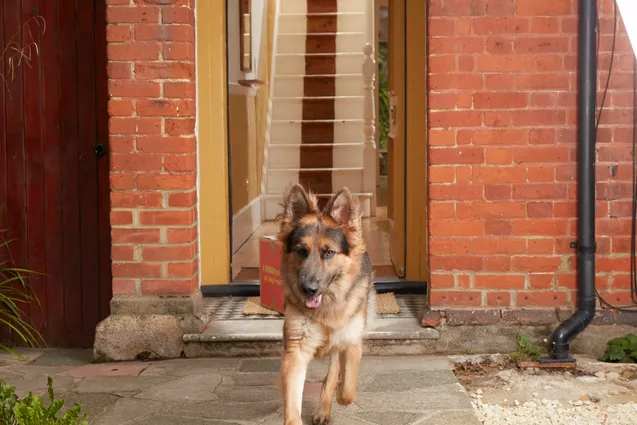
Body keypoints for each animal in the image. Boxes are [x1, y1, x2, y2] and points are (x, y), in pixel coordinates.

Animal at [276, 185, 376, 424]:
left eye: (329, 252)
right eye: (301, 250)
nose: (309, 289)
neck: (326, 308)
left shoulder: (350, 342)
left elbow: (347, 390)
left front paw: (339, 395)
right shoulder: (296, 350)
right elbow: (292, 401)